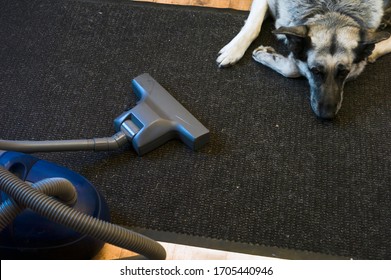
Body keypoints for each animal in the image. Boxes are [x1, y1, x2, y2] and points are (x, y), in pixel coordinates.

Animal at [216, 0, 391, 118]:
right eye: (315, 71)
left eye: (343, 73)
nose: (326, 116)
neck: (331, 9)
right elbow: (253, 26)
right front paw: (234, 49)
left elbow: (292, 68)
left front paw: (267, 55)